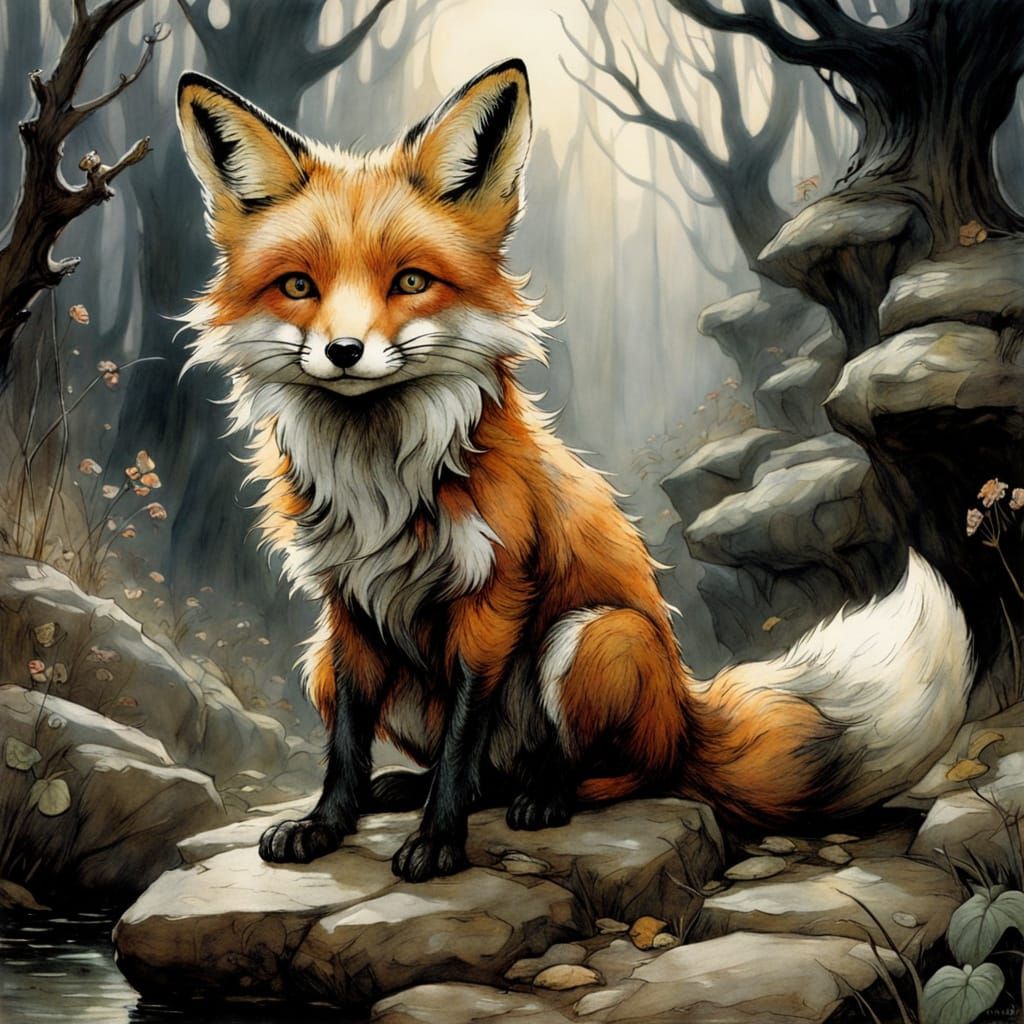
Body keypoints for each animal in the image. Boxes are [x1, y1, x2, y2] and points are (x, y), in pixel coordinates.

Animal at [175, 60, 975, 883]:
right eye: (299, 286)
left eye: (411, 282)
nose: (343, 352)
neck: (383, 485)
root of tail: (688, 710)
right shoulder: (346, 606)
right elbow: (348, 744)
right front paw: (327, 822)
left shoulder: (491, 599)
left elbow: (463, 736)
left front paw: (439, 842)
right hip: (319, 664)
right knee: (488, 773)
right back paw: (406, 788)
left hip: (593, 637)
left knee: (618, 774)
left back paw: (549, 798)